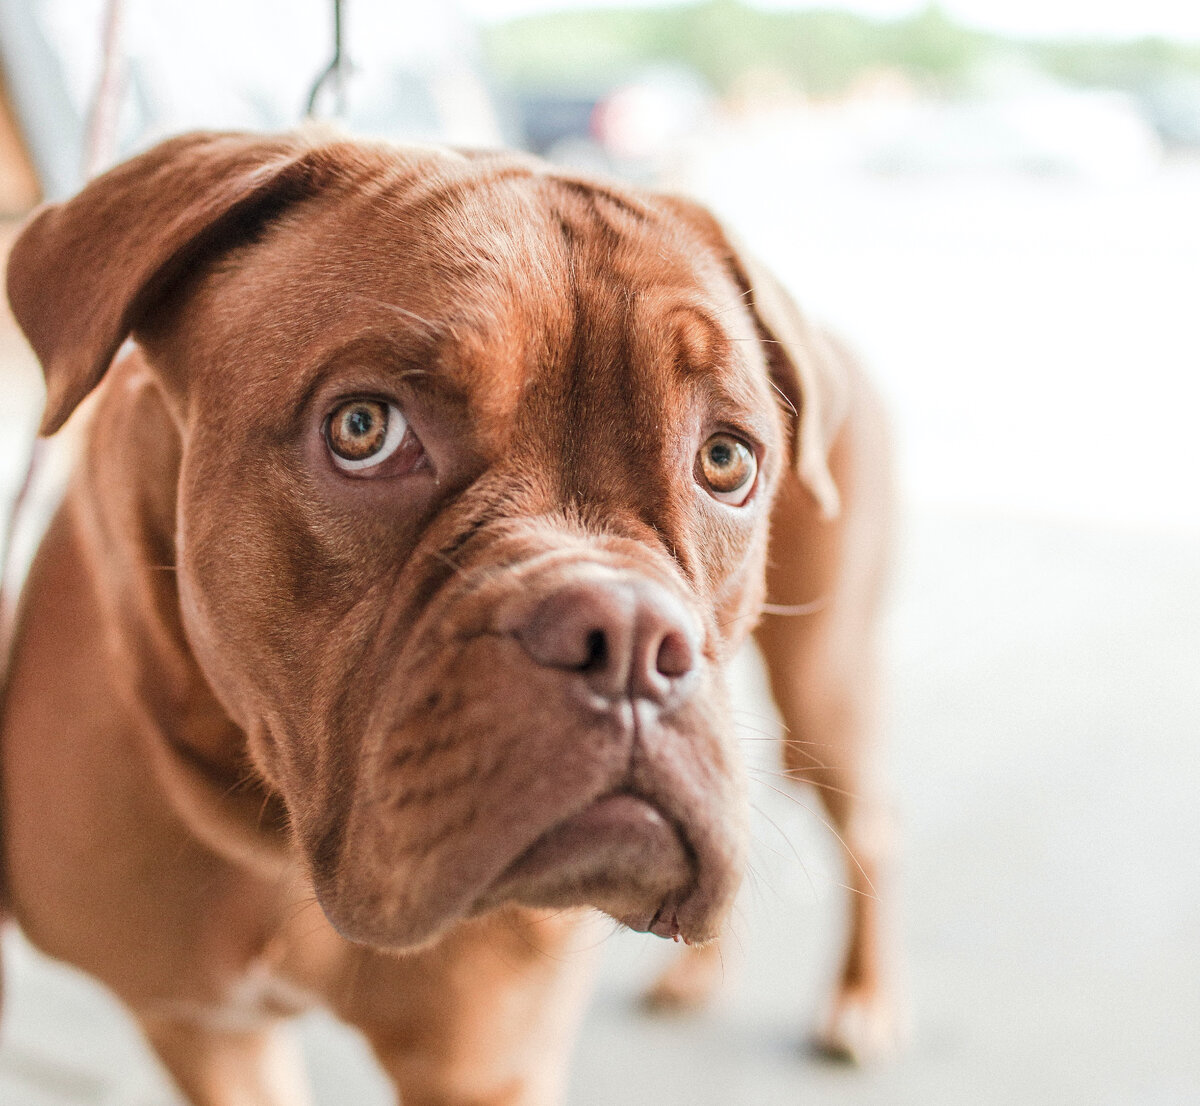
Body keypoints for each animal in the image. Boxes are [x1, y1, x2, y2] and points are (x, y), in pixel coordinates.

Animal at [0, 135, 897, 1103]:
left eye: (726, 460)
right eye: (363, 428)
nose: (626, 636)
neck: (277, 838)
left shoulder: (484, 1060)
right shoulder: (207, 1031)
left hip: (824, 682)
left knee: (869, 831)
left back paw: (861, 1003)